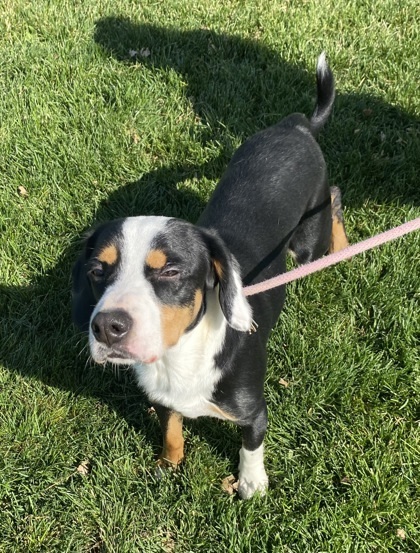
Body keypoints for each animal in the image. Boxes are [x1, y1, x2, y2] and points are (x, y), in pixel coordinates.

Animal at [72, 54, 348, 498]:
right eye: (98, 269)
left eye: (171, 270)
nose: (107, 327)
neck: (181, 356)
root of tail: (296, 125)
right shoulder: (164, 399)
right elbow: (171, 430)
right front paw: (169, 465)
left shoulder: (254, 411)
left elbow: (250, 448)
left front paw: (251, 485)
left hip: (309, 239)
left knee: (335, 200)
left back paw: (342, 250)